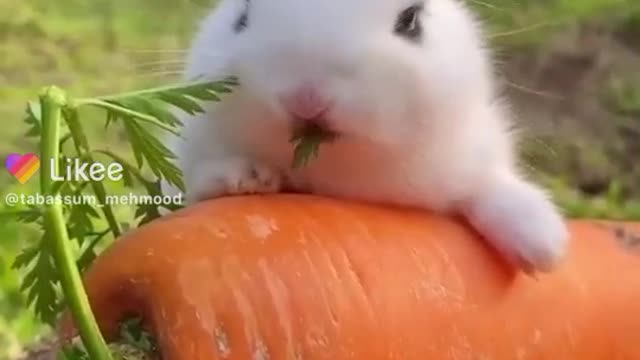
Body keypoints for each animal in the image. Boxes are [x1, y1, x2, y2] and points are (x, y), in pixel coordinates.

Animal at [165, 0, 568, 274]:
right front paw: (246, 176)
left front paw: (544, 247)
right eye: (243, 14)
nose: (306, 98)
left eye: (411, 20)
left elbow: (489, 187)